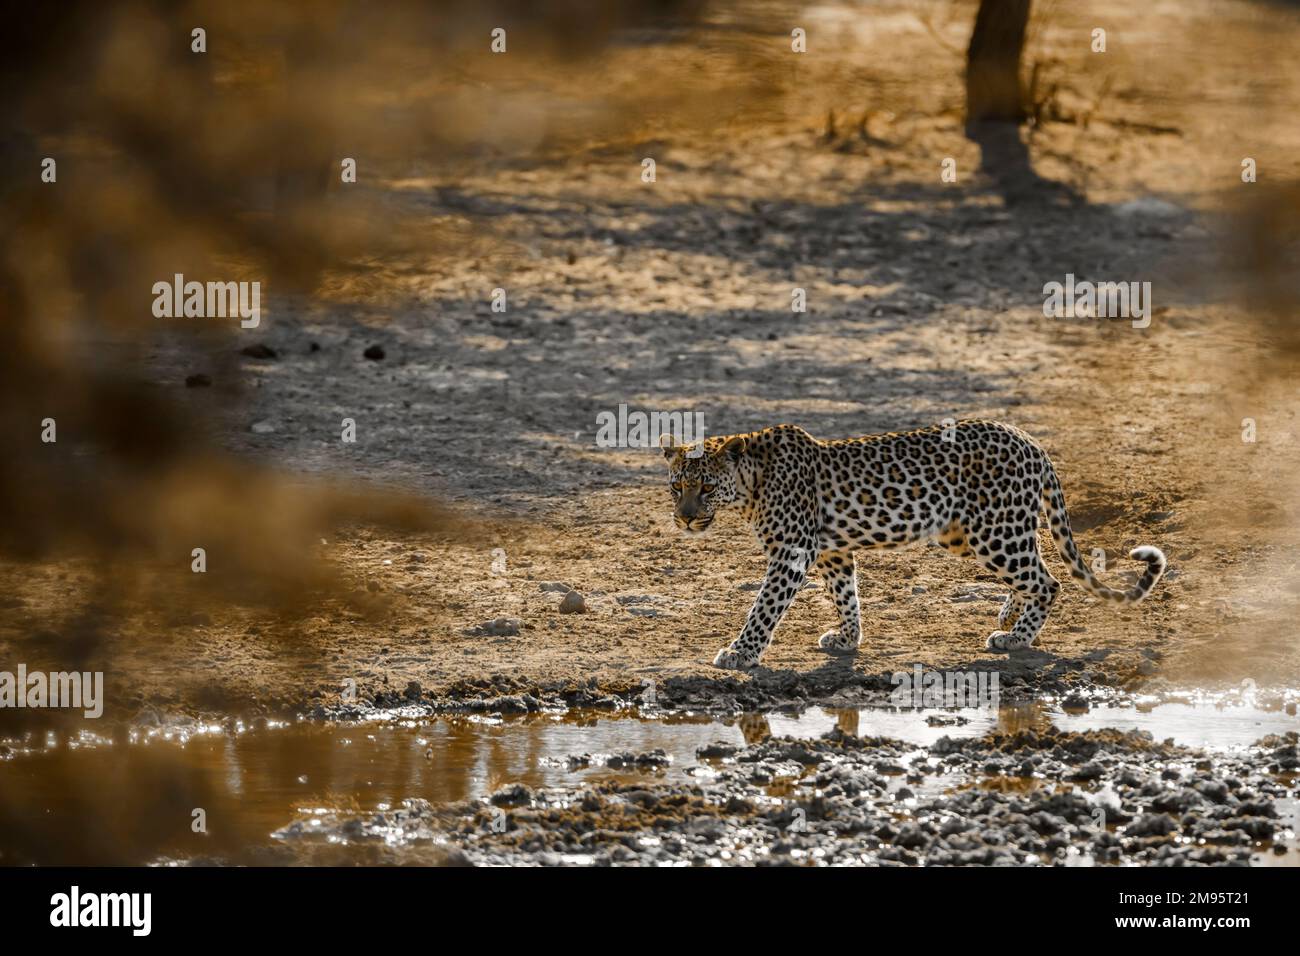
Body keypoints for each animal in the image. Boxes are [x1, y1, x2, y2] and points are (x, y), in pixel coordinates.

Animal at [660, 421, 1170, 671]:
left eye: (706, 487)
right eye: (676, 486)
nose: (684, 517)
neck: (751, 486)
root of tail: (1031, 441)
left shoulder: (792, 552)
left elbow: (763, 608)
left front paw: (740, 653)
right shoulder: (832, 551)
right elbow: (846, 595)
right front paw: (848, 638)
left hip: (994, 531)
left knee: (1048, 582)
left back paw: (1016, 637)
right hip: (967, 533)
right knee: (1035, 570)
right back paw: (1009, 616)